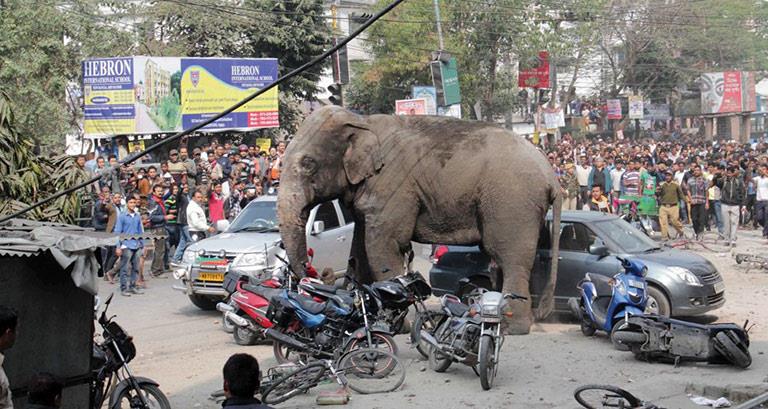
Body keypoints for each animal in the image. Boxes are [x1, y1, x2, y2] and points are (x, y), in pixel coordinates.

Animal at [280, 105, 560, 332]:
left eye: (308, 163)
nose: (318, 271)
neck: (361, 122)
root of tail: (551, 175)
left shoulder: (392, 187)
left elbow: (385, 245)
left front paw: (395, 324)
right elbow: (360, 248)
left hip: (512, 202)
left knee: (509, 257)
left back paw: (512, 327)